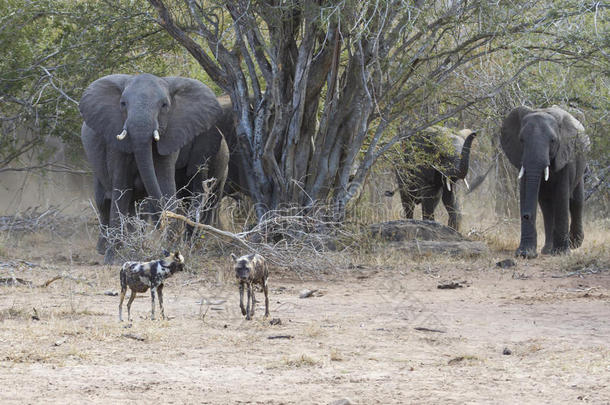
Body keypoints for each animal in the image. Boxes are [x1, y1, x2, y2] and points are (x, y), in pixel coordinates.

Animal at [80, 73, 221, 264]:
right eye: (123, 104)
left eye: (164, 105)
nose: (163, 221)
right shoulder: (116, 142)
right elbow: (121, 190)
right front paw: (113, 259)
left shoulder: (170, 137)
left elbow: (165, 185)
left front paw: (171, 251)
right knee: (104, 202)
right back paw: (103, 249)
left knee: (134, 205)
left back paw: (134, 245)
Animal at [496, 104, 588, 256]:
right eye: (521, 140)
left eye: (553, 141)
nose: (526, 216)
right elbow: (526, 191)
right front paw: (525, 254)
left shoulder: (565, 156)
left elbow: (562, 195)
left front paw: (561, 253)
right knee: (547, 206)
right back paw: (548, 250)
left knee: (576, 201)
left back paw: (574, 244)